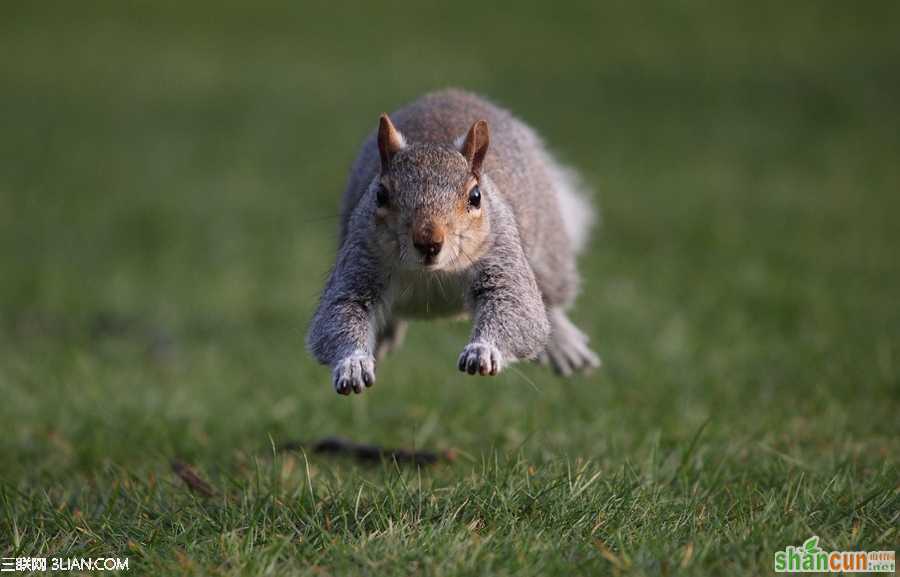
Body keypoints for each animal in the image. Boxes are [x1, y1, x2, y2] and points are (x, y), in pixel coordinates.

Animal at [308, 90, 596, 394]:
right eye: (380, 195)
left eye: (476, 196)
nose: (428, 242)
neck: (431, 275)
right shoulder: (361, 259)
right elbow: (339, 311)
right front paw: (353, 363)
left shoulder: (500, 254)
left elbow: (516, 306)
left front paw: (483, 350)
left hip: (549, 248)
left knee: (549, 297)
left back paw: (562, 344)